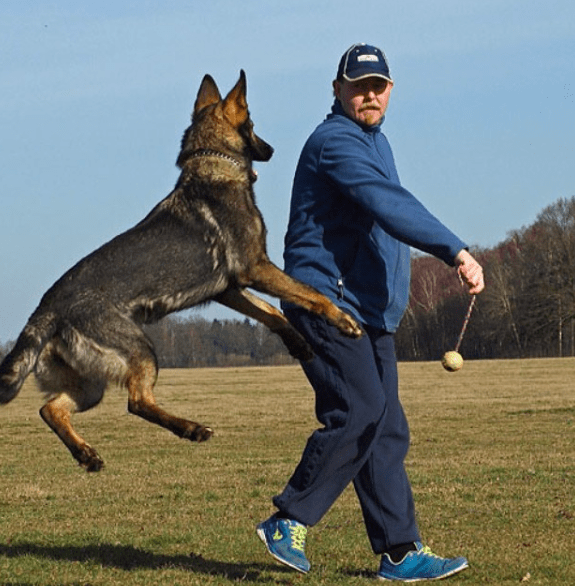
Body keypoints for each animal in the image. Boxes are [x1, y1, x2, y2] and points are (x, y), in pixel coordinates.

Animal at [0, 72, 362, 470]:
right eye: (252, 126)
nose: (270, 149)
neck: (213, 168)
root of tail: (47, 308)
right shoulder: (256, 268)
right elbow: (311, 295)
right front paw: (344, 320)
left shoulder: (229, 288)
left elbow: (270, 312)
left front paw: (297, 343)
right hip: (140, 351)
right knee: (136, 402)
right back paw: (192, 429)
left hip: (91, 384)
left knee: (50, 409)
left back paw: (87, 454)